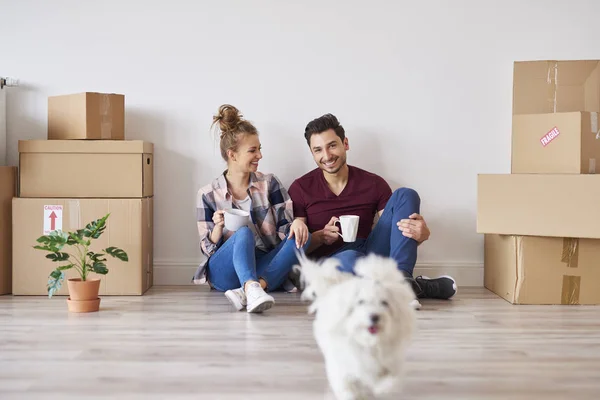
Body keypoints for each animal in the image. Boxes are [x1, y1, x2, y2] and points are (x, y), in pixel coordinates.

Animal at [296, 255, 418, 398]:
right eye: (361, 302)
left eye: (384, 303)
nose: (374, 316)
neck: (369, 342)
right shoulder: (344, 365)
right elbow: (347, 386)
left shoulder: (392, 362)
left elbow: (390, 380)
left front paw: (381, 388)